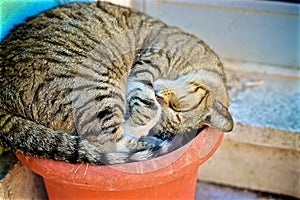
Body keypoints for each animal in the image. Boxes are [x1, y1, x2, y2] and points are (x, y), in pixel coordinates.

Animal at [0, 1, 233, 164]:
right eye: (178, 109)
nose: (158, 96)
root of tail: (4, 104)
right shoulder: (148, 64)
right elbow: (145, 106)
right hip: (98, 86)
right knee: (106, 144)